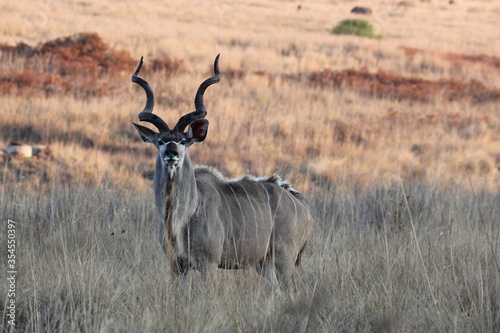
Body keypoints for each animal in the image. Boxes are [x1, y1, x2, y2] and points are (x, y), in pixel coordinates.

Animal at [133, 54, 312, 288]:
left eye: (183, 141)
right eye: (161, 141)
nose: (171, 153)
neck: (185, 213)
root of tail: (302, 207)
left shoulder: (209, 265)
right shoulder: (177, 266)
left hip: (285, 259)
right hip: (263, 263)